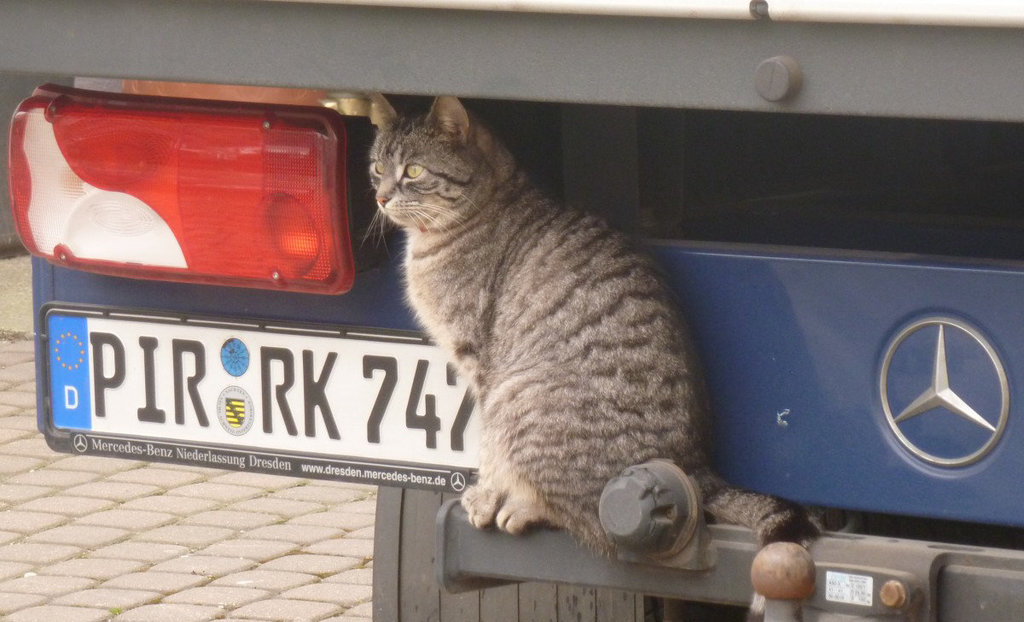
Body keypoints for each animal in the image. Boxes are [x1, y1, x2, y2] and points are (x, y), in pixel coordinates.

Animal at [368, 94, 815, 557]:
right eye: (377, 168)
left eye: (413, 171)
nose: (380, 198)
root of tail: (695, 468)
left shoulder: (482, 365)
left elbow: (488, 448)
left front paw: (488, 494)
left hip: (519, 397)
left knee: (592, 518)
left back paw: (523, 507)